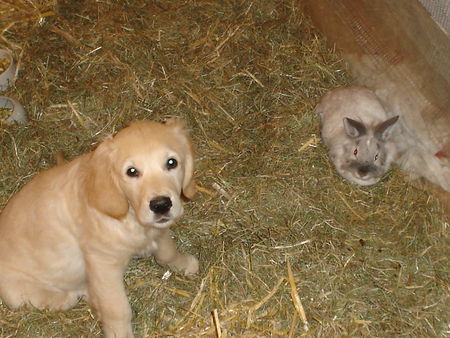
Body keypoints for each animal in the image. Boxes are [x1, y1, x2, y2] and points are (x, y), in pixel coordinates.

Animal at [0, 119, 199, 338]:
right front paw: (120, 334)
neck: (128, 215)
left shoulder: (157, 229)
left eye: (172, 163)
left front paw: (183, 263)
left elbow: (167, 251)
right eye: (131, 171)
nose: (161, 205)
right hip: (19, 291)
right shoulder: (103, 263)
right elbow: (117, 308)